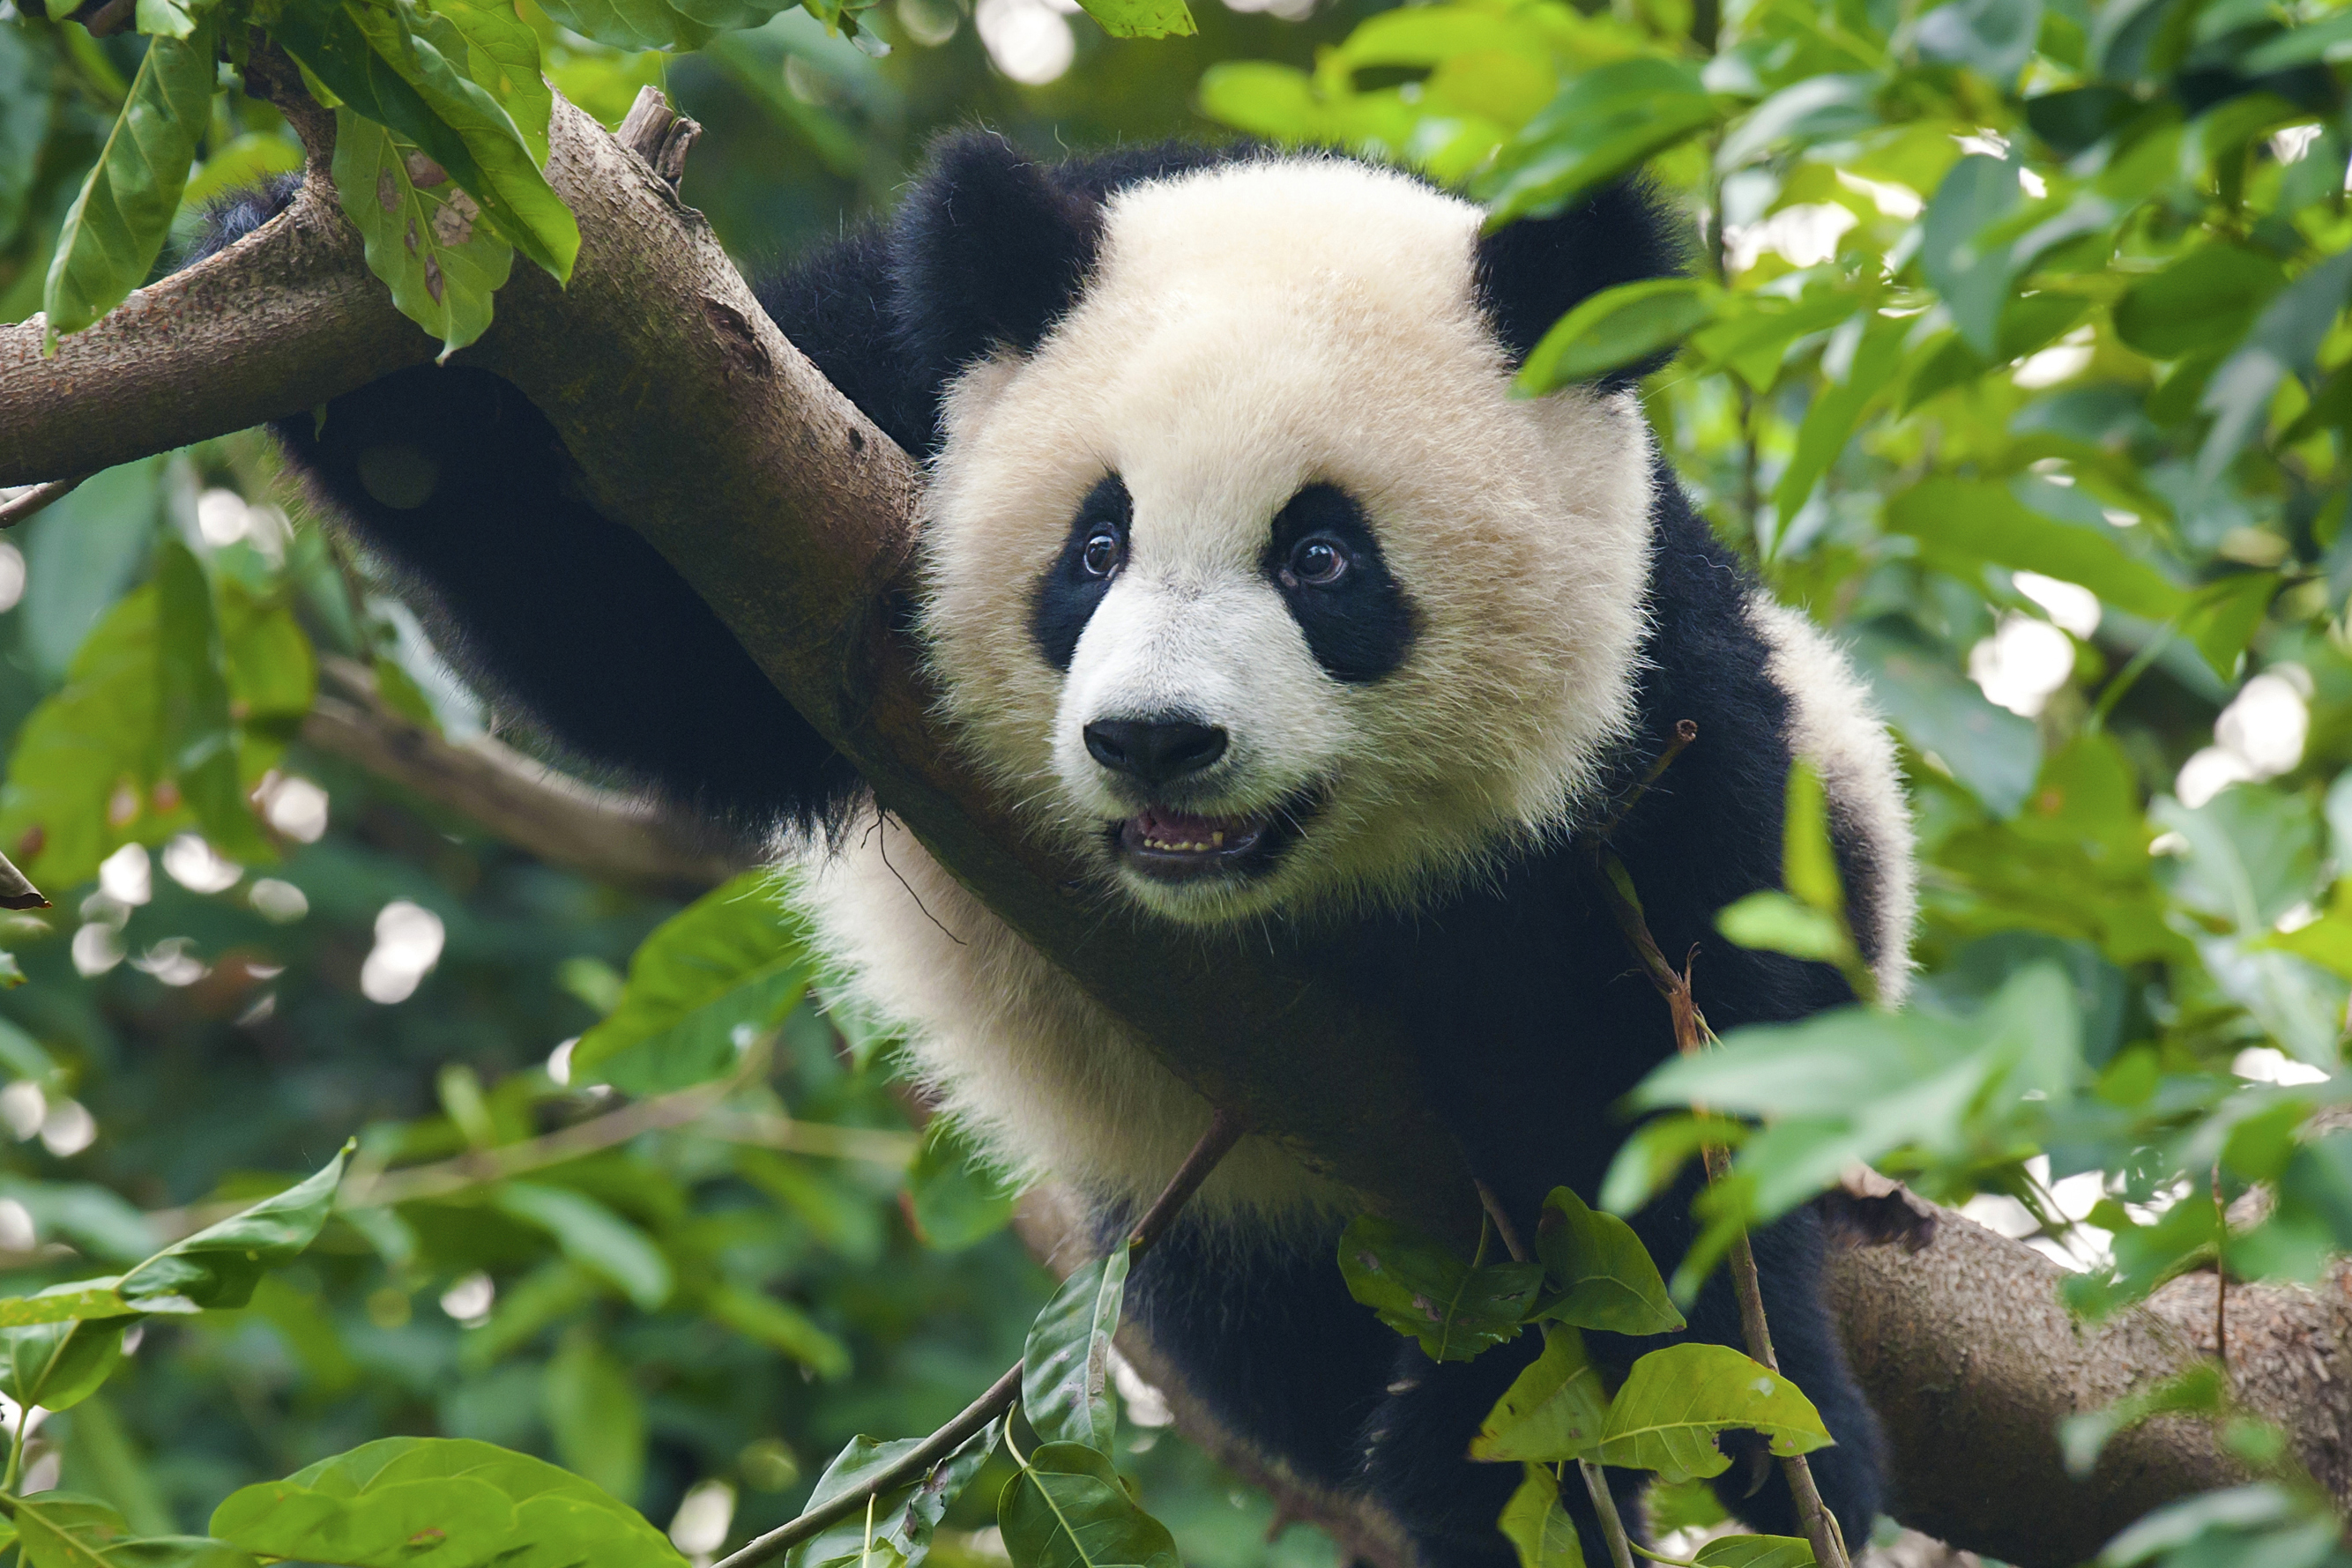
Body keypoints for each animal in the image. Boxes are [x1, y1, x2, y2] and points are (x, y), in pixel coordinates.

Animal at [195, 131, 1914, 1563]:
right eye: (1095, 546)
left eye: (1321, 557)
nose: (1156, 739)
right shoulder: (845, 401)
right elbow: (649, 637)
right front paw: (339, 332)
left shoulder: (1654, 709)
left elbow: (1664, 1058)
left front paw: (1728, 1424)